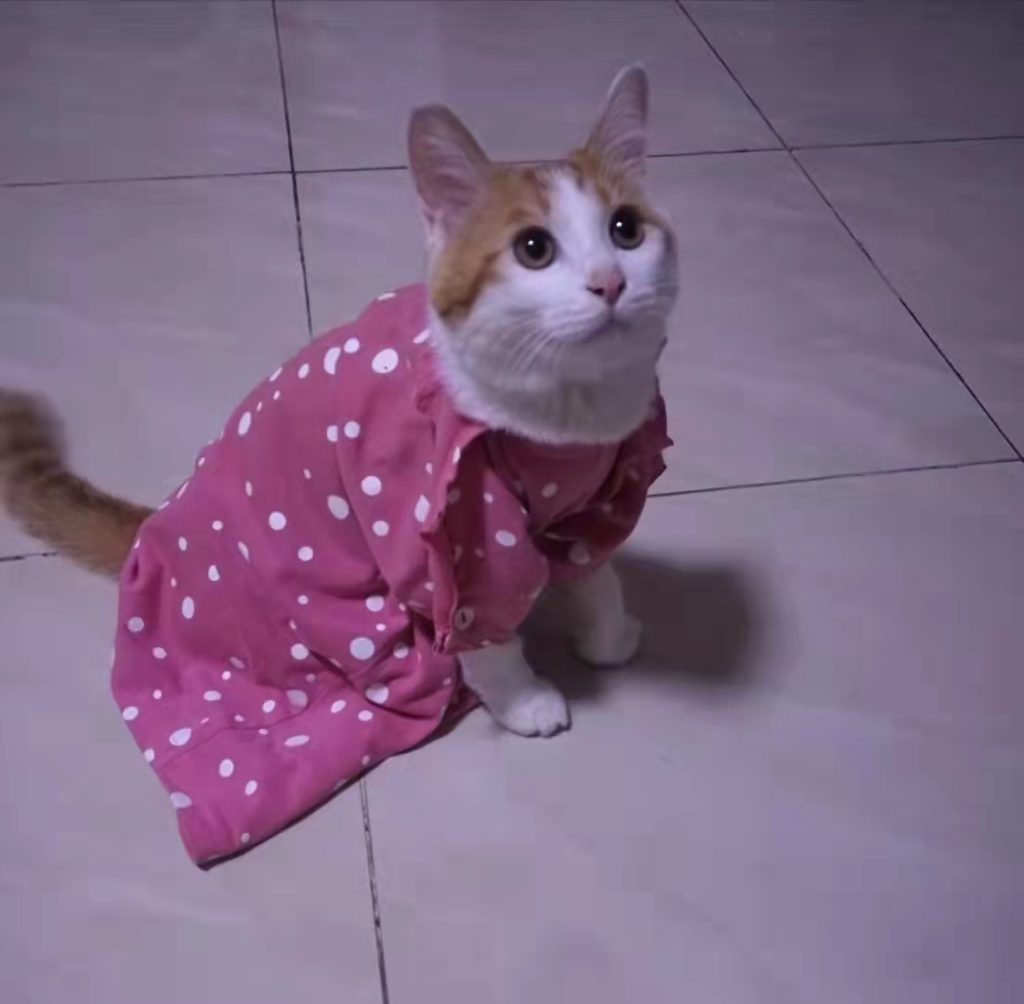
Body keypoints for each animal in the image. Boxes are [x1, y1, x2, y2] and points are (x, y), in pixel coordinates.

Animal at [0, 66, 678, 778]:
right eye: (533, 249)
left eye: (626, 229)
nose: (610, 282)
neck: (568, 417)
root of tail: (156, 526)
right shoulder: (454, 534)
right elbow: (481, 621)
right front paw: (524, 700)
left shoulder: (596, 498)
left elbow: (595, 570)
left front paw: (607, 633)